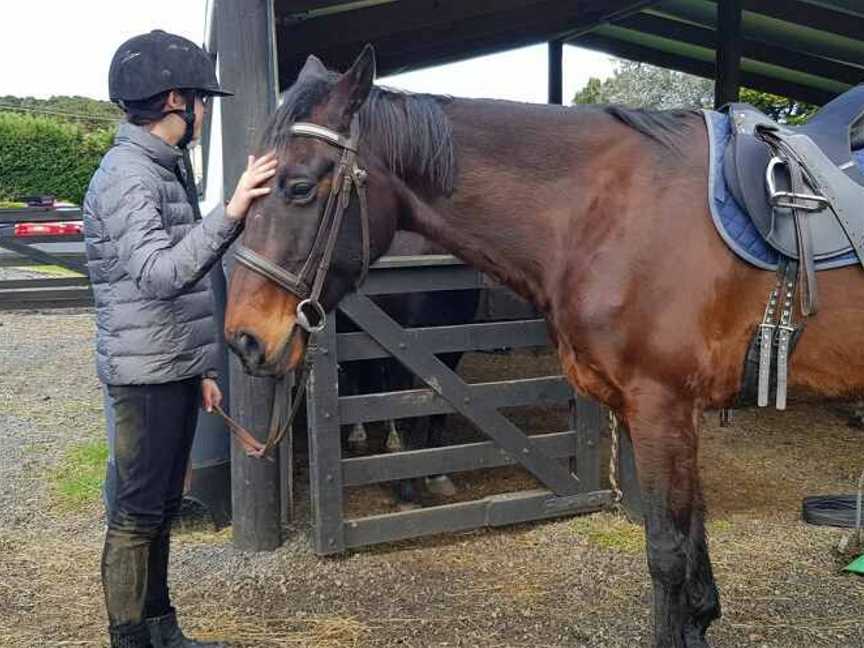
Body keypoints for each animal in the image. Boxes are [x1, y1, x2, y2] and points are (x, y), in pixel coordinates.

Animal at [223, 46, 864, 648]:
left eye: (299, 186)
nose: (244, 338)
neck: (616, 211)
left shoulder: (661, 406)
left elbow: (667, 550)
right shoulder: (673, 412)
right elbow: (694, 538)